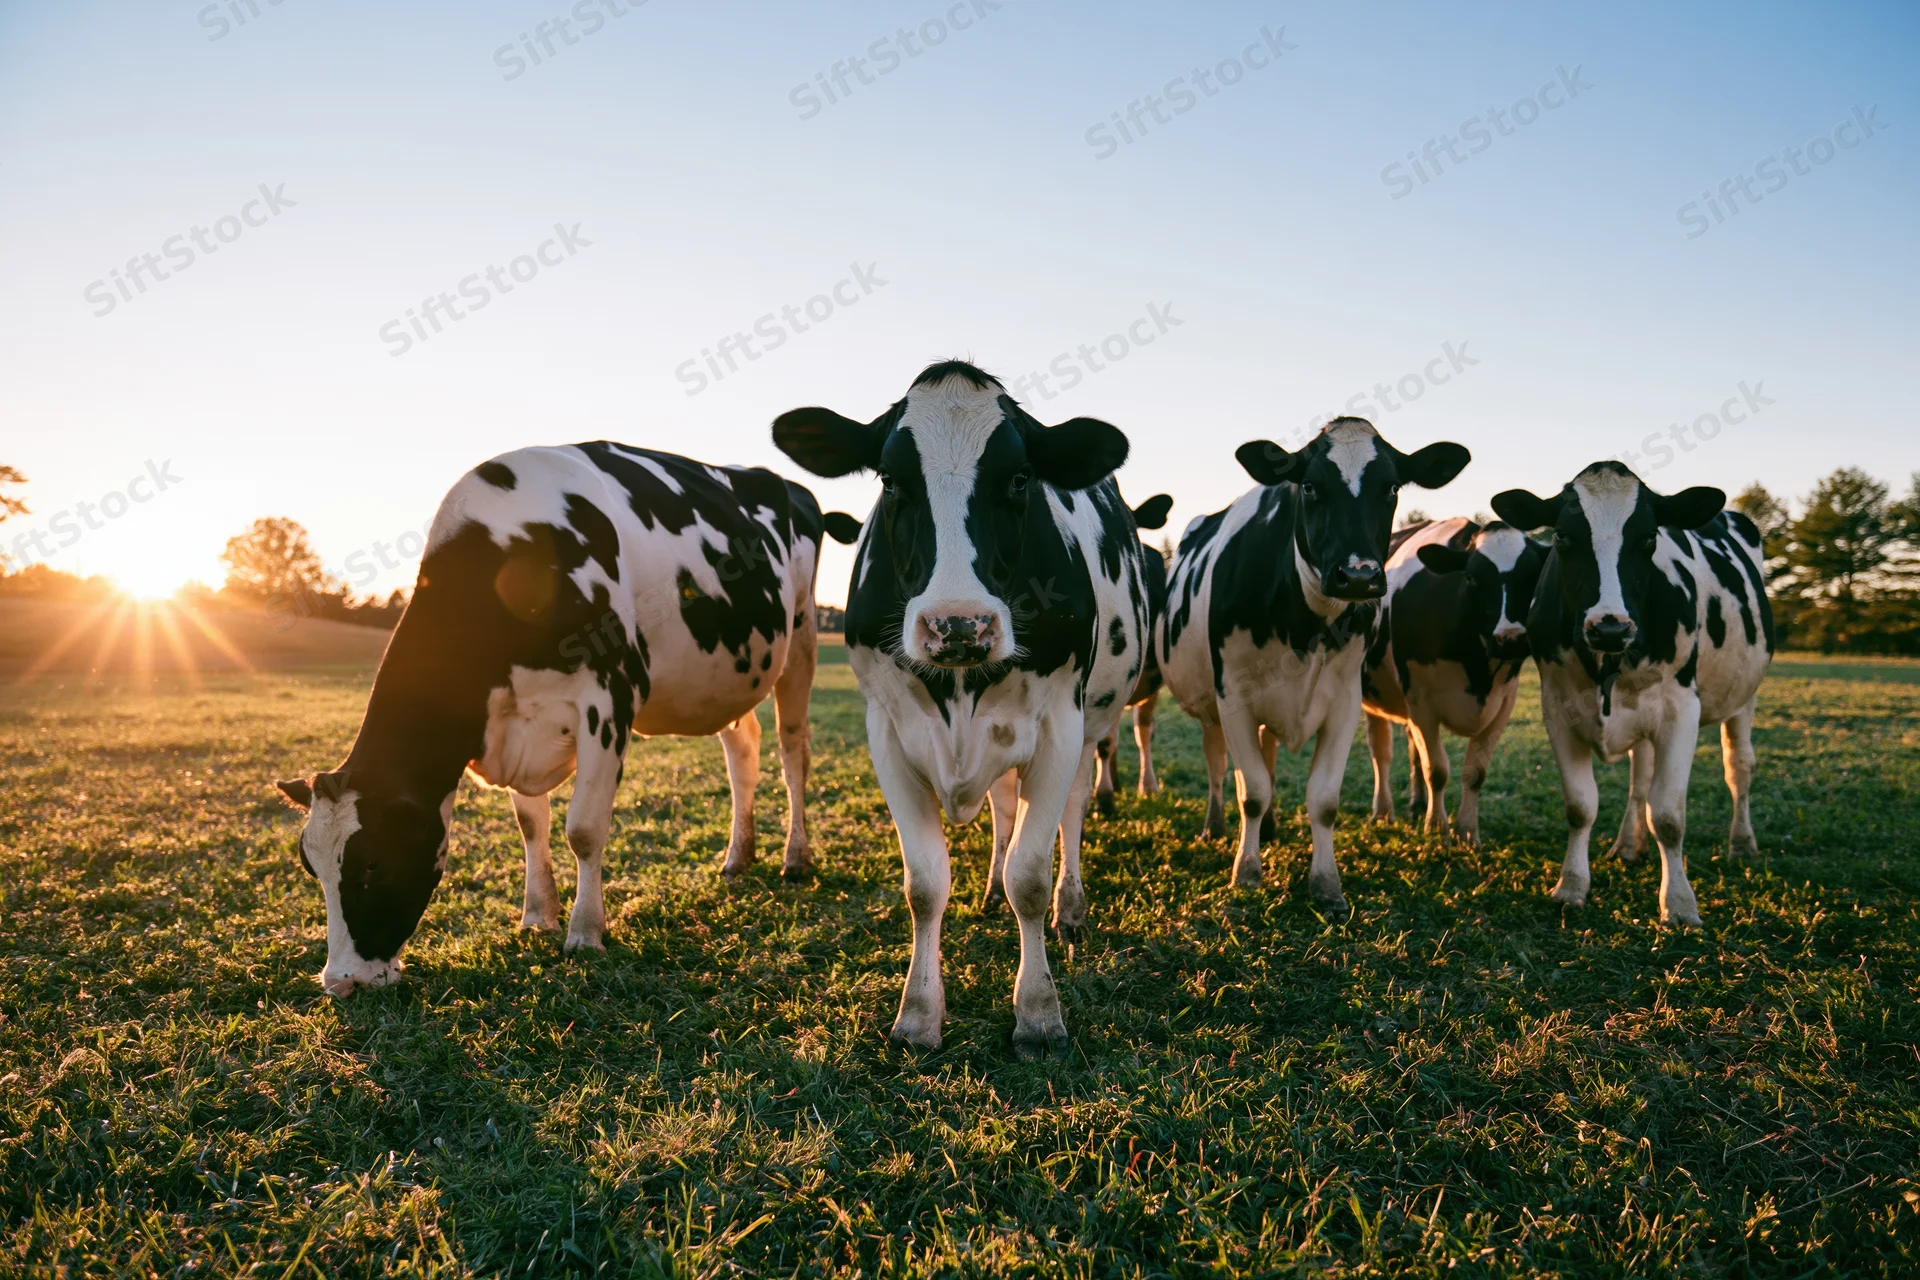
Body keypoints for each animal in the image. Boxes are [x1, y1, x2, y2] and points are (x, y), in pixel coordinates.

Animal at [273, 443, 858, 996]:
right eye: (310, 865)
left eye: (373, 862)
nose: (341, 983)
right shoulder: (513, 724)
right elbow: (532, 825)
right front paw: (537, 916)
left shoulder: (610, 700)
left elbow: (583, 829)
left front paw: (585, 932)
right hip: (732, 674)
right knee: (743, 752)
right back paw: (738, 857)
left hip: (801, 637)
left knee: (792, 751)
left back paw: (796, 859)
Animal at [771, 360, 1153, 1058]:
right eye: (890, 478)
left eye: (1022, 476)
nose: (957, 625)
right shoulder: (888, 733)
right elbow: (925, 884)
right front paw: (918, 1015)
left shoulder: (1059, 726)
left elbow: (1031, 874)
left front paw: (1038, 1014)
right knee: (1003, 809)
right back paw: (990, 891)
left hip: (1091, 726)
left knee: (1072, 813)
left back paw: (1071, 910)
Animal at [1157, 417, 1470, 907]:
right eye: (1309, 485)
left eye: (1392, 486)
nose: (1358, 575)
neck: (1305, 624)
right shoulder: (1233, 696)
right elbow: (1252, 790)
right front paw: (1245, 873)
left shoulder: (1344, 700)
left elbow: (1323, 800)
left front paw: (1326, 885)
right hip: (1209, 708)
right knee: (1217, 763)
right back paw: (1215, 827)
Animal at [1361, 517, 1547, 840]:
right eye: (1472, 577)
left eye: (1532, 576)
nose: (1510, 638)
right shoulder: (1420, 700)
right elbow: (1436, 769)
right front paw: (1437, 828)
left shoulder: (1504, 703)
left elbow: (1475, 773)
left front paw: (1467, 831)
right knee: (1380, 752)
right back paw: (1383, 812)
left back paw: (1417, 804)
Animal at [1491, 462, 1771, 926]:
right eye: (1563, 536)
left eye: (1648, 537)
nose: (1610, 627)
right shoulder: (1558, 707)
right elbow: (1581, 805)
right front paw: (1571, 885)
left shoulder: (1681, 709)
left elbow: (1669, 815)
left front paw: (1679, 903)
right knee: (1640, 776)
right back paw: (1628, 845)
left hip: (1745, 694)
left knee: (1739, 768)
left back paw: (1743, 843)